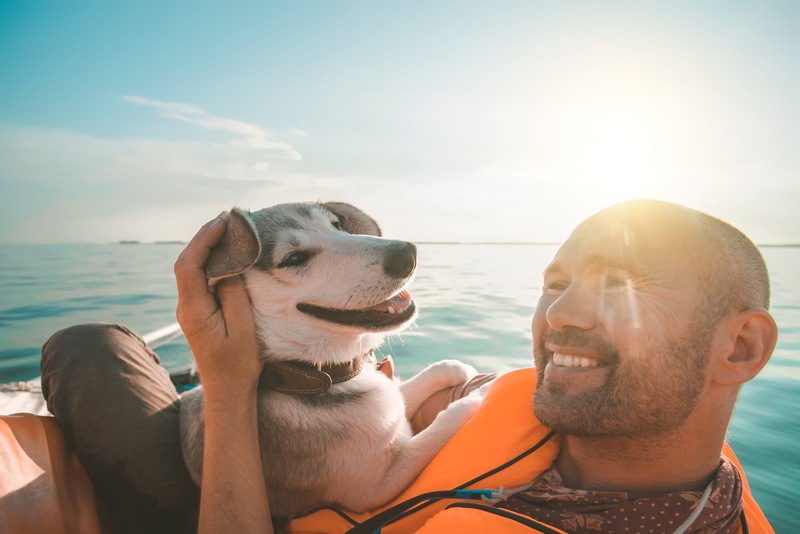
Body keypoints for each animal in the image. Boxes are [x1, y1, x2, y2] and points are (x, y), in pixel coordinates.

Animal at [178, 201, 484, 520]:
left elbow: (406, 389)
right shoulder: (375, 487)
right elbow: (437, 431)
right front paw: (475, 398)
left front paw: (453, 368)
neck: (319, 374)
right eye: (294, 258)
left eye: (336, 226)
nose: (407, 254)